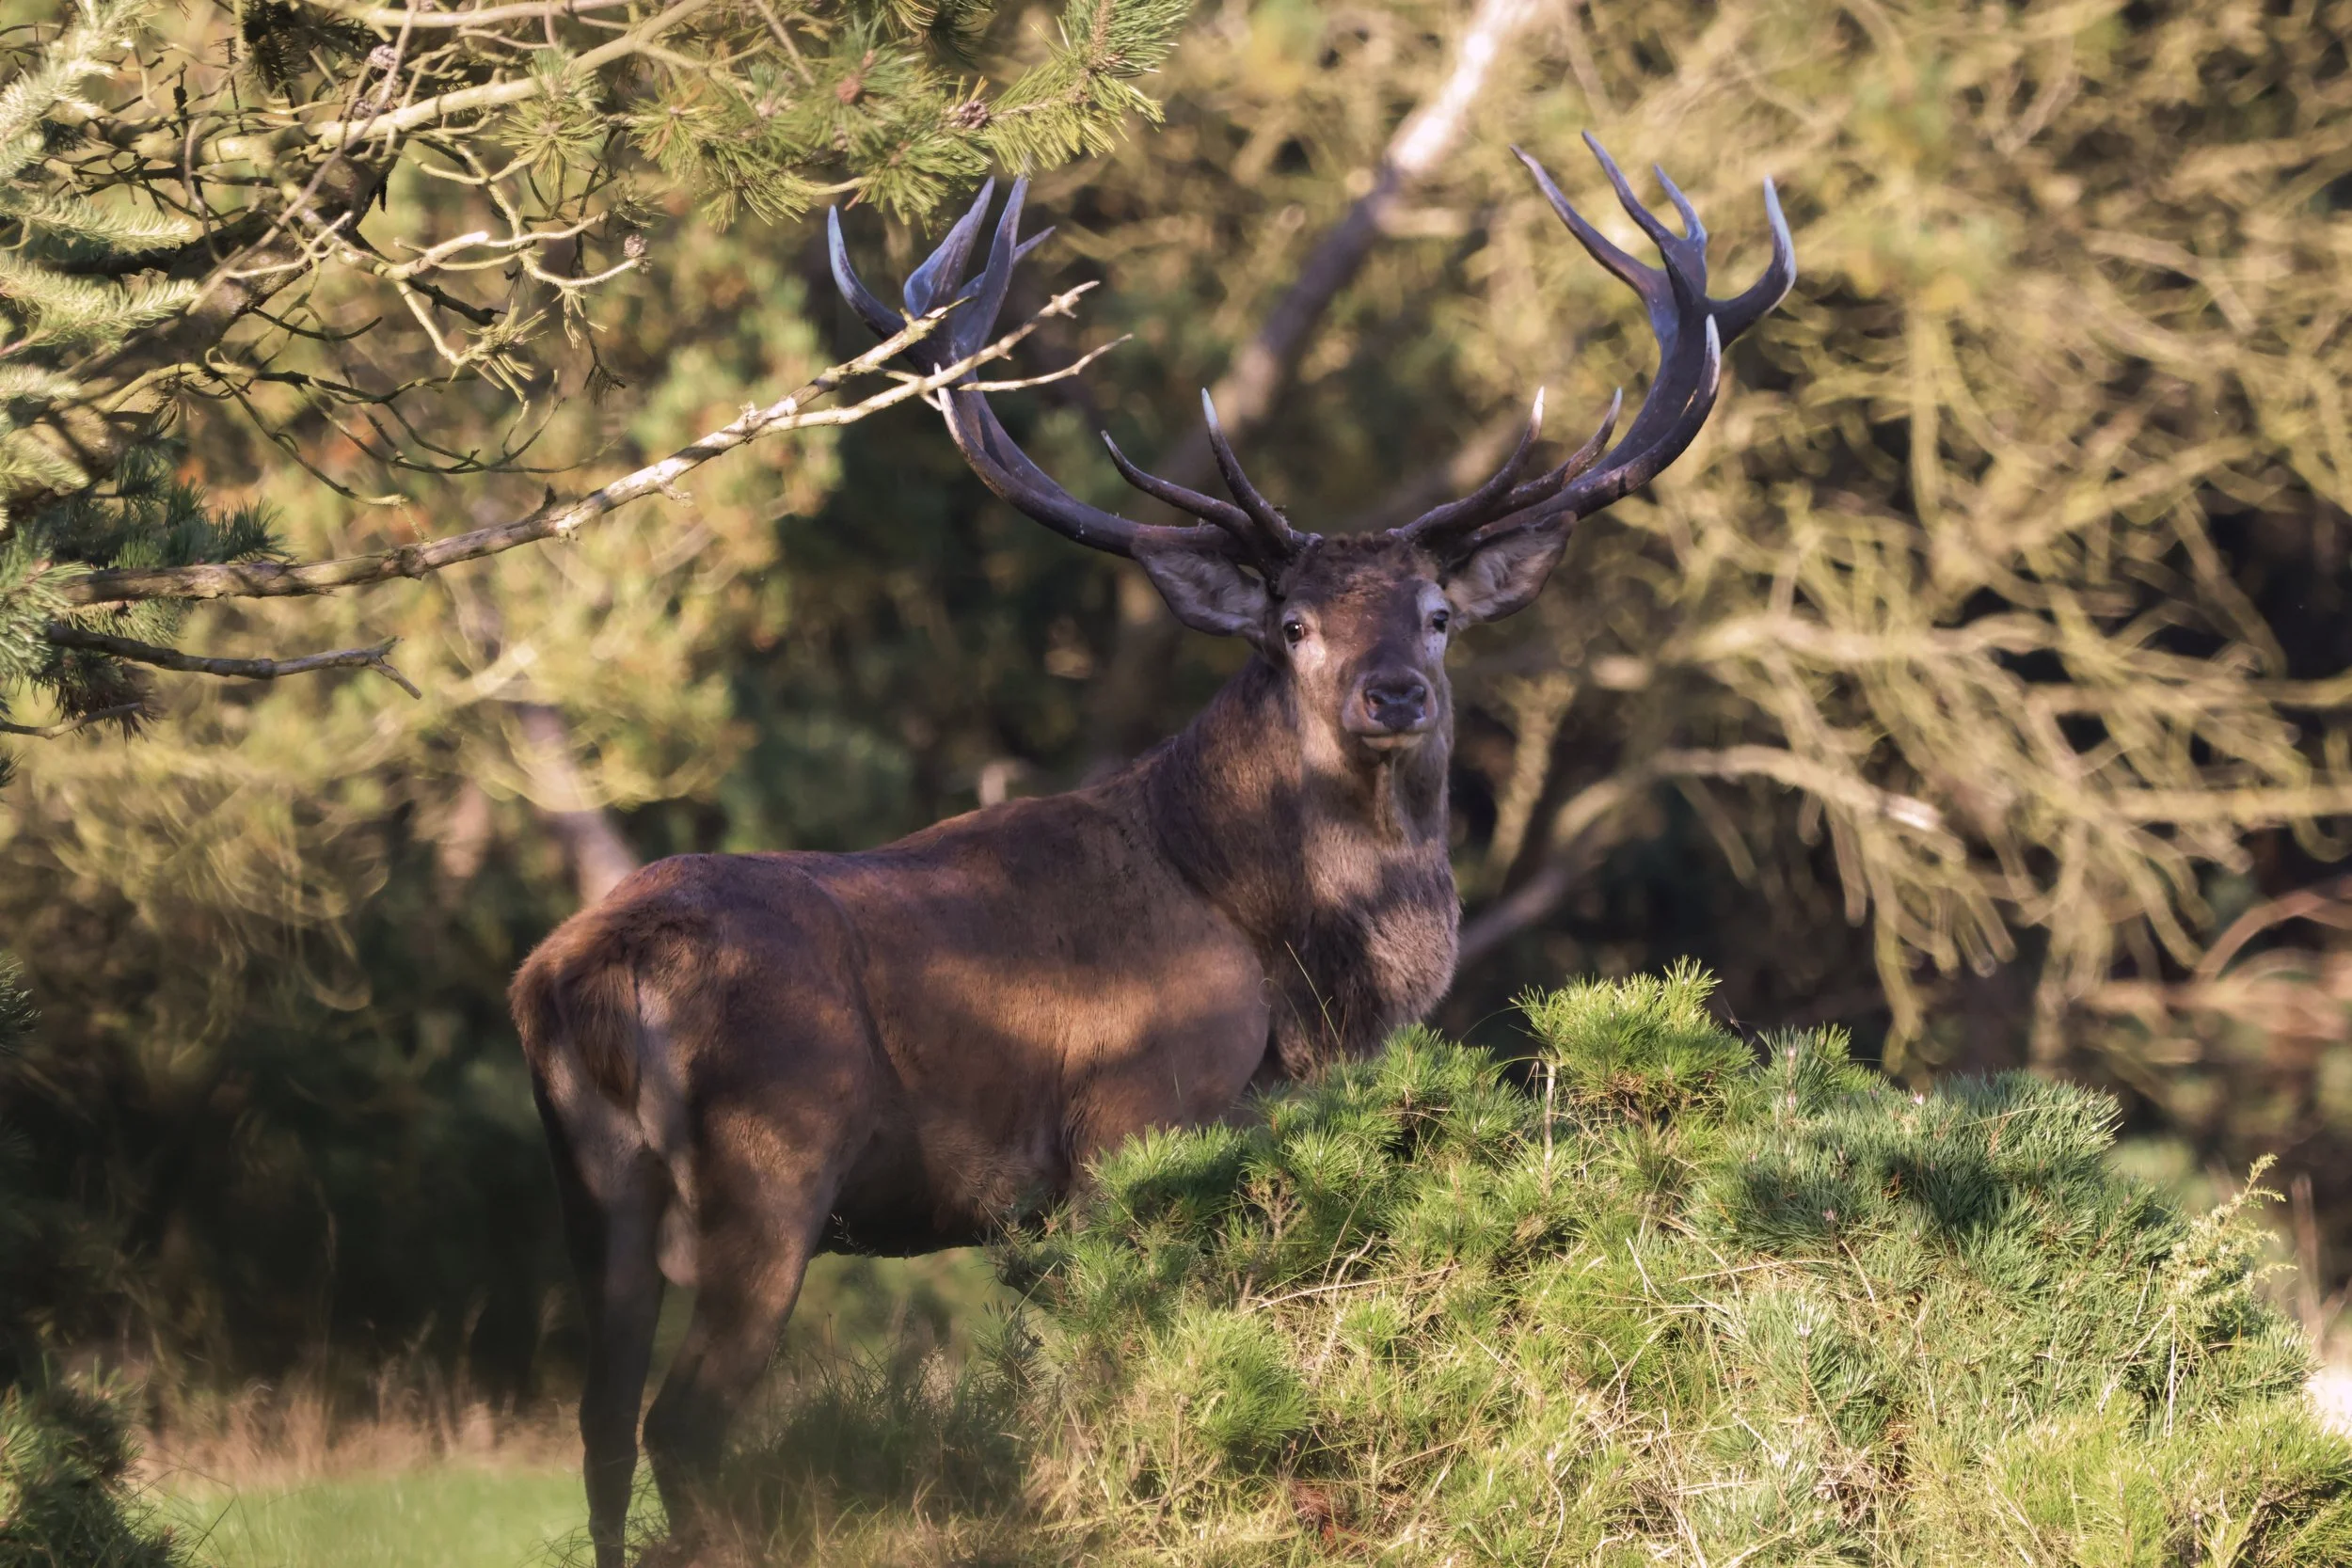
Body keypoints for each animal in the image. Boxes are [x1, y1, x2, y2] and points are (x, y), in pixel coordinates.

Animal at [510, 135, 1792, 1565]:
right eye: (1290, 623)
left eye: (1438, 610)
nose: (1392, 694)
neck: (1295, 979)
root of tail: (587, 968)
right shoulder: (1132, 1124)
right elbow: (1119, 1366)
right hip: (771, 1158)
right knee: (685, 1422)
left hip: (590, 1183)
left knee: (598, 1421)